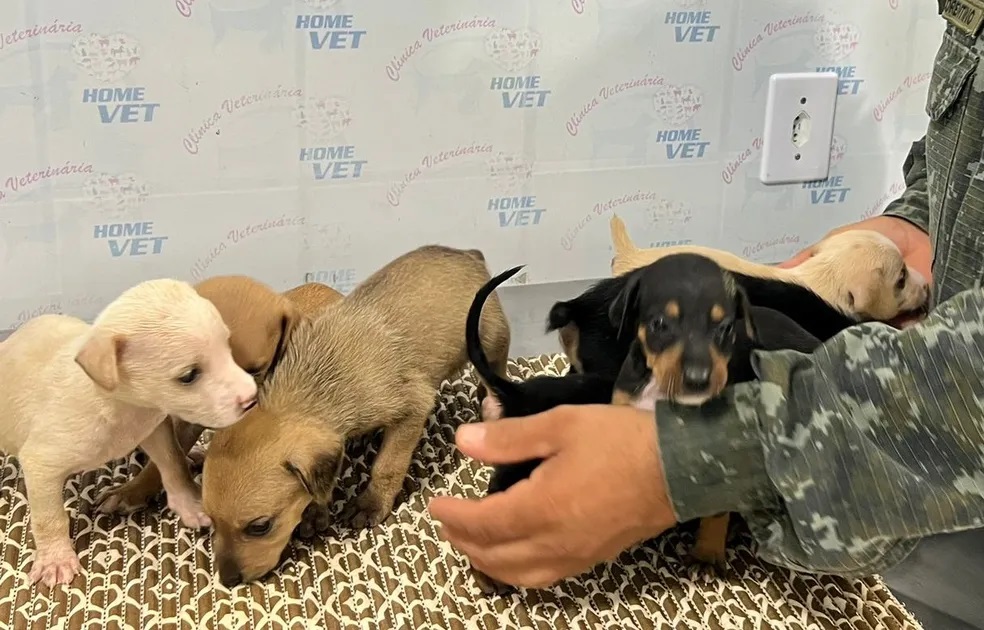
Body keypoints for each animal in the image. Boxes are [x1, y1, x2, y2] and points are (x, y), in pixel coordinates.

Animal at [0, 278, 258, 592]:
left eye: (227, 346)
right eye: (188, 375)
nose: (252, 398)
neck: (119, 404)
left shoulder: (154, 427)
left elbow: (173, 461)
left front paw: (189, 503)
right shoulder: (41, 463)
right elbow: (49, 516)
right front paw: (55, 560)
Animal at [197, 246, 512, 588]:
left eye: (260, 526)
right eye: (210, 520)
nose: (228, 579)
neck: (317, 385)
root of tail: (467, 253)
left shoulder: (413, 408)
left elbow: (386, 466)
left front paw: (371, 504)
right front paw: (316, 511)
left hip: (491, 340)